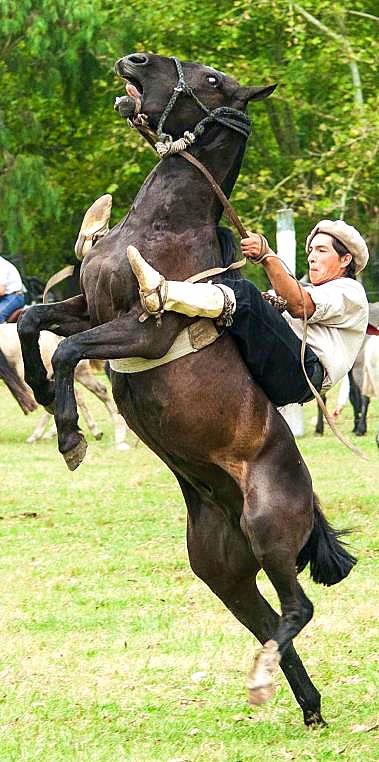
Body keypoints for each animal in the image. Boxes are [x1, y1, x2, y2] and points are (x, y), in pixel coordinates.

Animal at [17, 55, 356, 724]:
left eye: (214, 80)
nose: (134, 60)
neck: (159, 228)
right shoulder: (86, 308)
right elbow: (33, 321)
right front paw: (44, 397)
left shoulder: (141, 335)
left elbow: (67, 349)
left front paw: (70, 437)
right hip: (220, 568)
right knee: (271, 621)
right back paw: (304, 704)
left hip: (268, 528)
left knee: (298, 607)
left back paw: (267, 684)